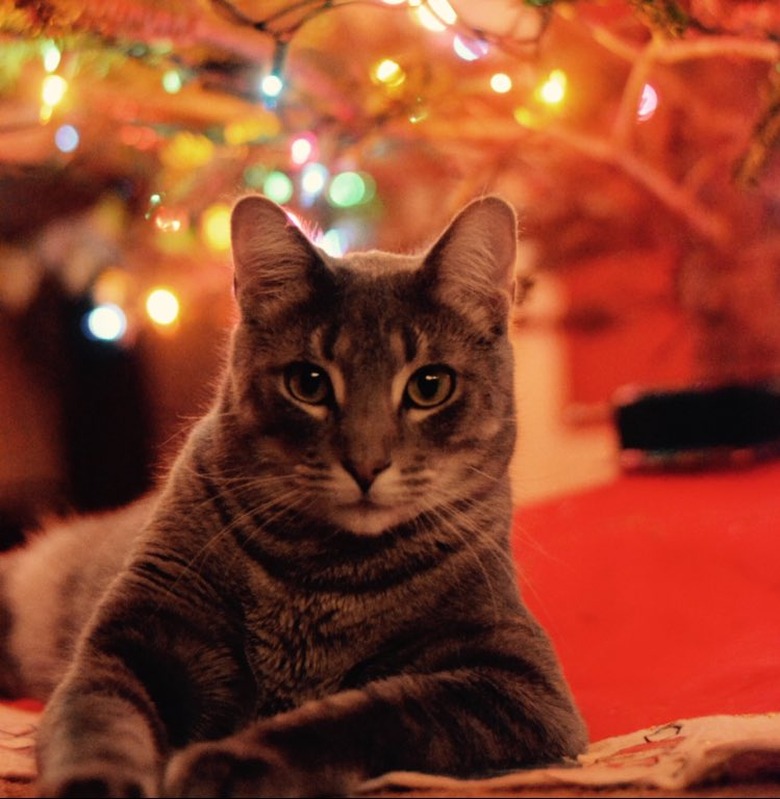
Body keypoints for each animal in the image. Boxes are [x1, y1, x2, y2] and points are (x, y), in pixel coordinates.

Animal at [0, 195, 584, 799]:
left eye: (430, 385)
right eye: (308, 383)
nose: (366, 464)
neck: (321, 578)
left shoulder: (518, 683)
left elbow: (361, 716)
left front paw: (231, 762)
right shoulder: (126, 646)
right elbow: (97, 724)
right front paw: (98, 782)